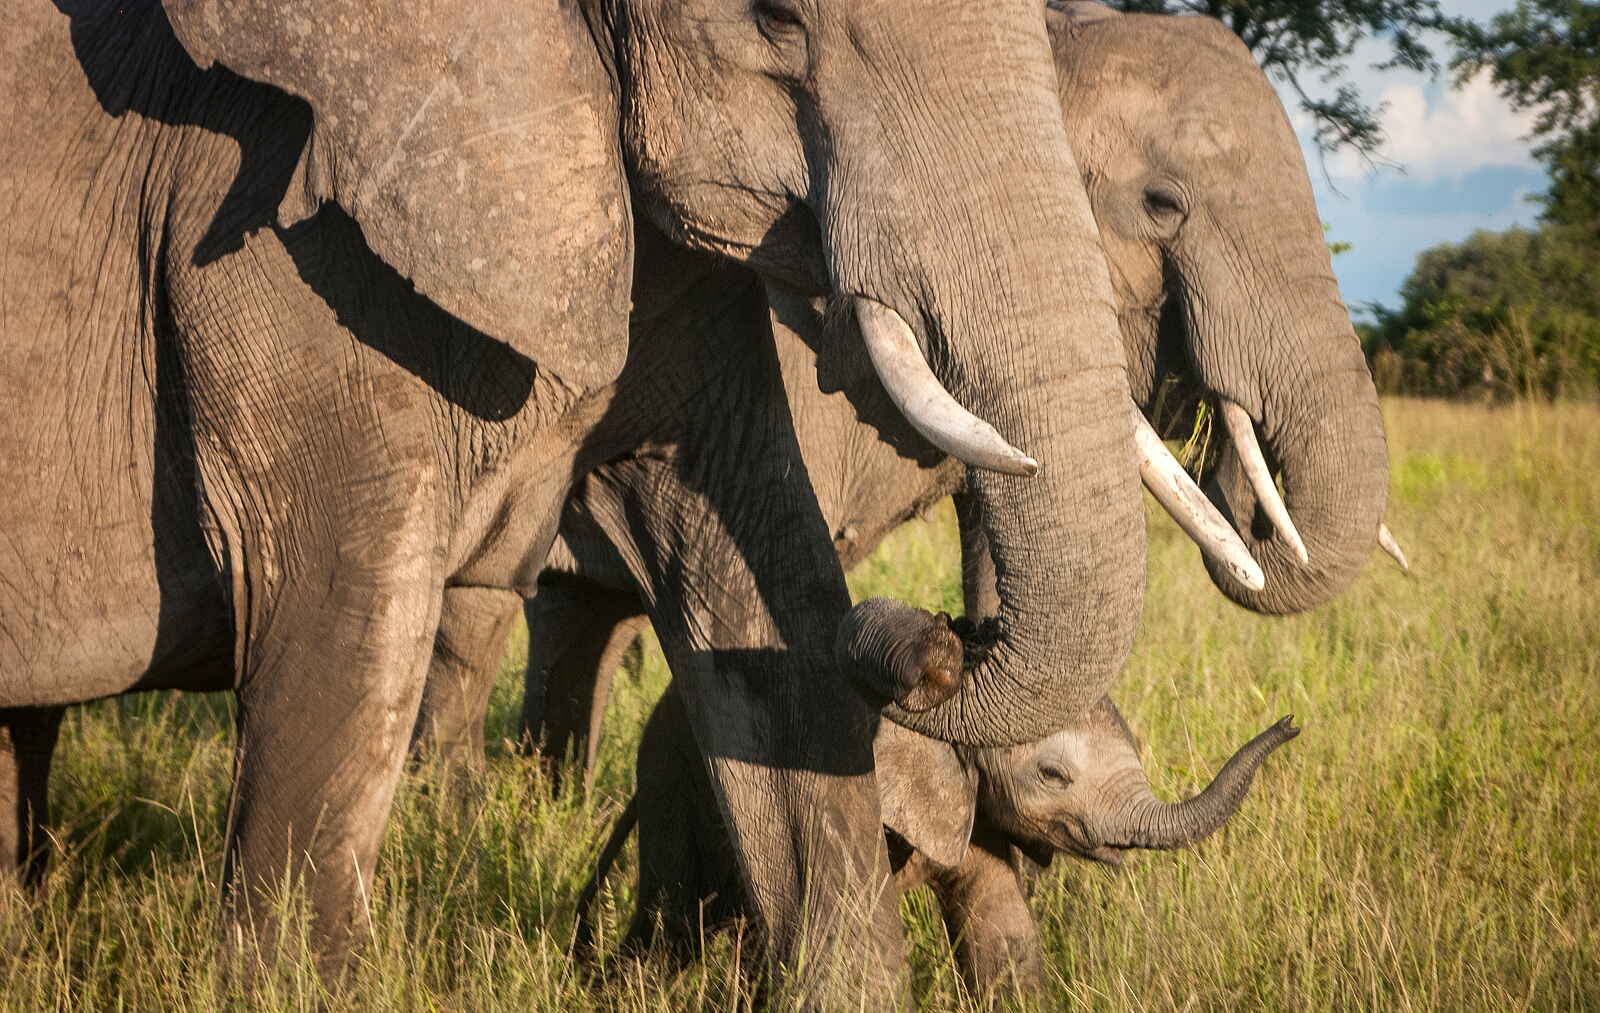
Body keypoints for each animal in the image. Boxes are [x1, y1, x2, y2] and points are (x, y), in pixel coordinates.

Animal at [569, 689, 1299, 995]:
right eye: (1052, 775)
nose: (1291, 723)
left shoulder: (971, 803)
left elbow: (999, 922)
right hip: (673, 775)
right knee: (674, 917)